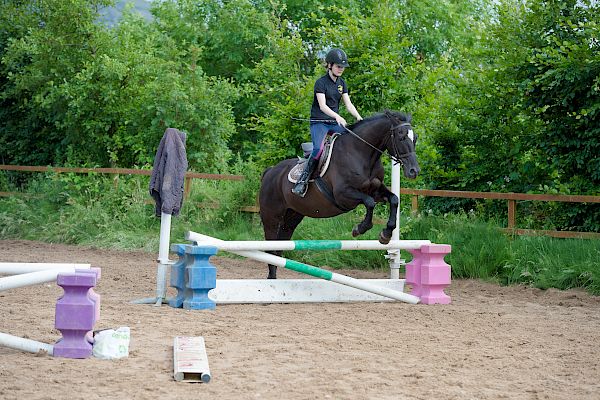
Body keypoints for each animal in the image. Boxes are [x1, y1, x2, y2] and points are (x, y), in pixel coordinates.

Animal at [260, 109, 420, 278]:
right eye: (401, 137)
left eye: (415, 138)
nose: (414, 171)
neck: (361, 154)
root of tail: (270, 171)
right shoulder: (343, 196)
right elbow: (369, 202)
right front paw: (360, 228)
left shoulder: (376, 191)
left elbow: (394, 199)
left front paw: (386, 234)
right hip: (272, 217)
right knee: (271, 249)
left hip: (291, 218)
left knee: (279, 249)